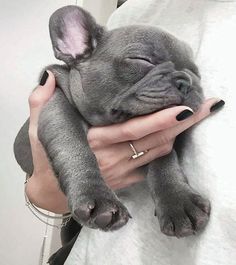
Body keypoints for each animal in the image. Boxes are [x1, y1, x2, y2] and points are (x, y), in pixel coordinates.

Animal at [14, 5, 210, 236]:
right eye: (142, 60)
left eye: (196, 73)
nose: (187, 81)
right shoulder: (55, 103)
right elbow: (73, 144)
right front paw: (97, 196)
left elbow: (165, 160)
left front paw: (178, 200)